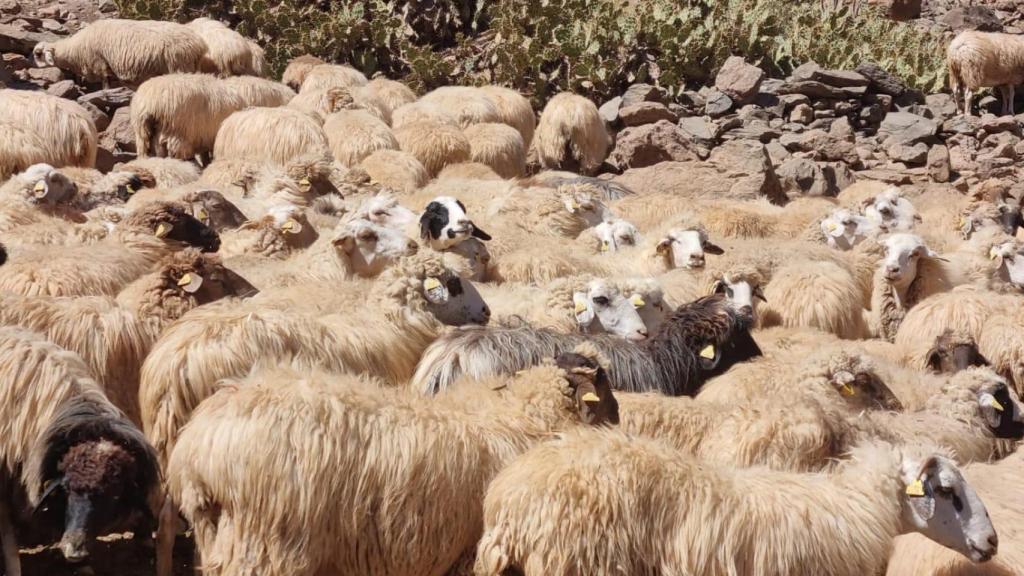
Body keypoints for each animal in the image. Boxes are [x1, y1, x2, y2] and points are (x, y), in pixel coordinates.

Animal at [32, 19, 206, 87]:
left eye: (38, 54)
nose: (36, 67)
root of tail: (198, 44)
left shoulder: (99, 64)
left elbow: (105, 84)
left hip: (179, 65)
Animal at [167, 349, 616, 576]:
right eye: (605, 385)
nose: (617, 420)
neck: (522, 419)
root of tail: (198, 450)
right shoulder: (467, 553)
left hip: (216, 537)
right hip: (269, 545)